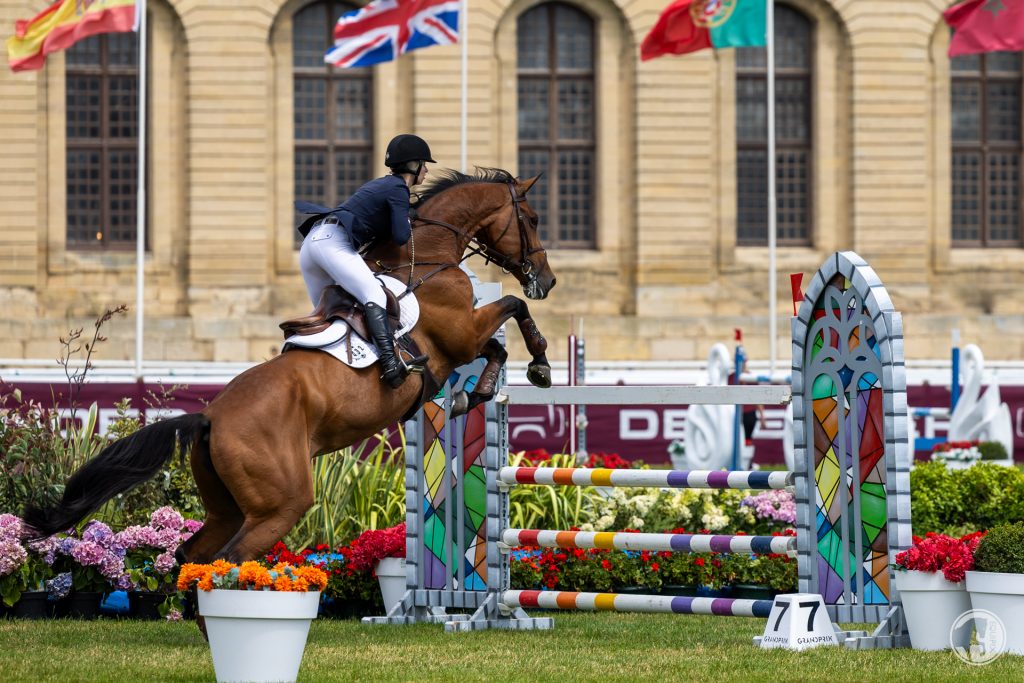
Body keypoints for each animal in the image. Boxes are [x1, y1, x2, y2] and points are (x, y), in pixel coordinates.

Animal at [24, 167, 557, 565]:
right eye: (531, 217)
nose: (547, 281)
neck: (429, 259)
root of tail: (210, 417)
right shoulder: (460, 336)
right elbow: (510, 313)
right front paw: (537, 367)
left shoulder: (463, 340)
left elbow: (500, 341)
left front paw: (478, 392)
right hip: (280, 503)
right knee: (230, 561)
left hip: (227, 509)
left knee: (192, 556)